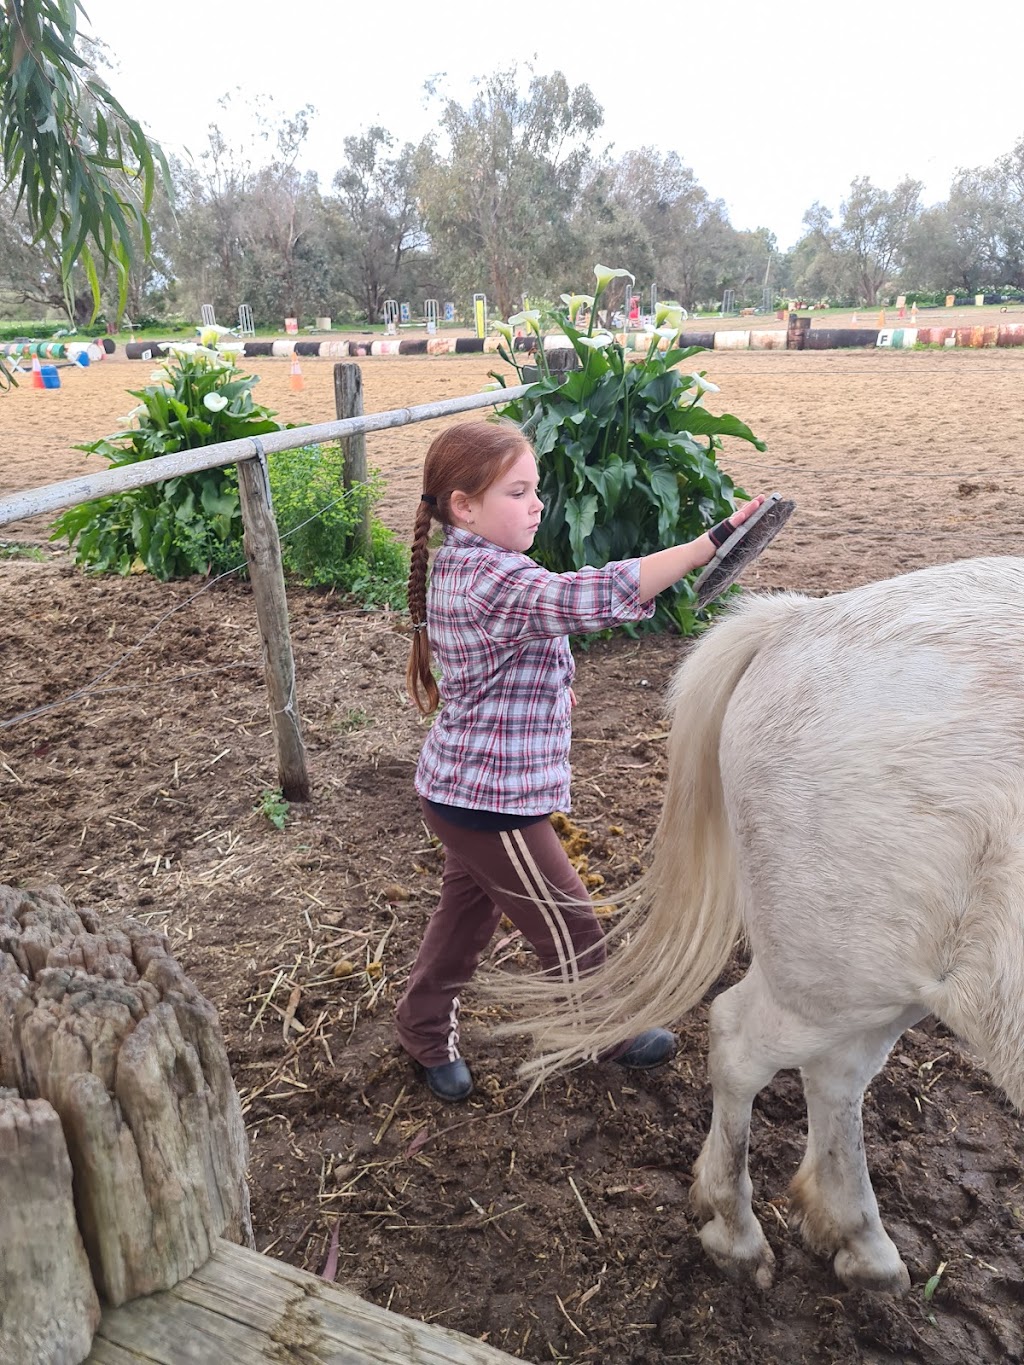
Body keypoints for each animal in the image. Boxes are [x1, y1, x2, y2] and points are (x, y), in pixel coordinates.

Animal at [513, 554, 1024, 1288]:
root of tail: (799, 619)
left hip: (879, 984)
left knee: (837, 1076)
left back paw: (858, 1240)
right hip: (833, 978)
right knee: (744, 1045)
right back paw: (738, 1229)